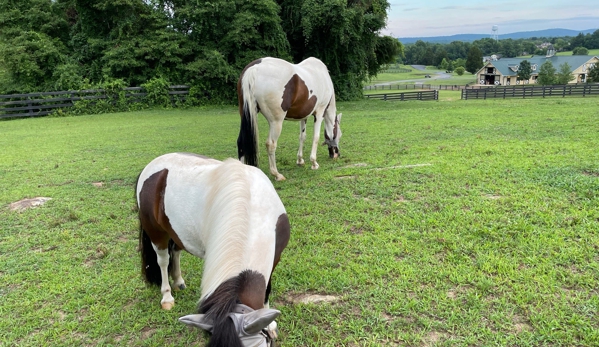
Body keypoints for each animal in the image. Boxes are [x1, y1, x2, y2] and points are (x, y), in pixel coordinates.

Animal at [139, 154, 292, 346]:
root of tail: (153, 163)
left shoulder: (276, 256)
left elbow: (267, 290)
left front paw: (270, 325)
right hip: (156, 232)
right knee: (163, 260)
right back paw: (167, 297)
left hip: (176, 231)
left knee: (175, 251)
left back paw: (179, 281)